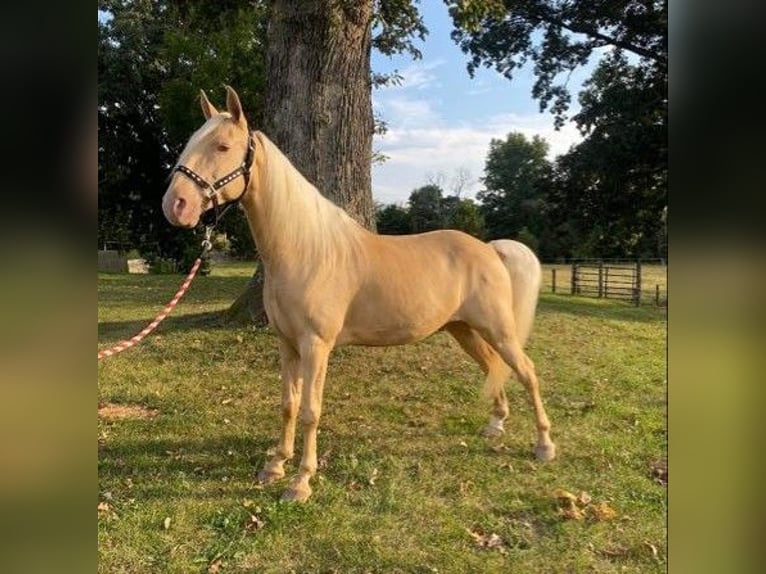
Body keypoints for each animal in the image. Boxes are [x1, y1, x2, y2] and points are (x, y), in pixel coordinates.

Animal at [164, 85, 560, 504]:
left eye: (222, 146)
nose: (176, 205)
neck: (306, 250)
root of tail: (490, 249)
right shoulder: (286, 344)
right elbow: (288, 405)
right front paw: (274, 466)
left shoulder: (316, 346)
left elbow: (310, 410)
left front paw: (301, 481)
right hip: (464, 330)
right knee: (493, 368)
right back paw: (495, 426)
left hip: (498, 330)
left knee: (527, 372)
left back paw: (544, 446)